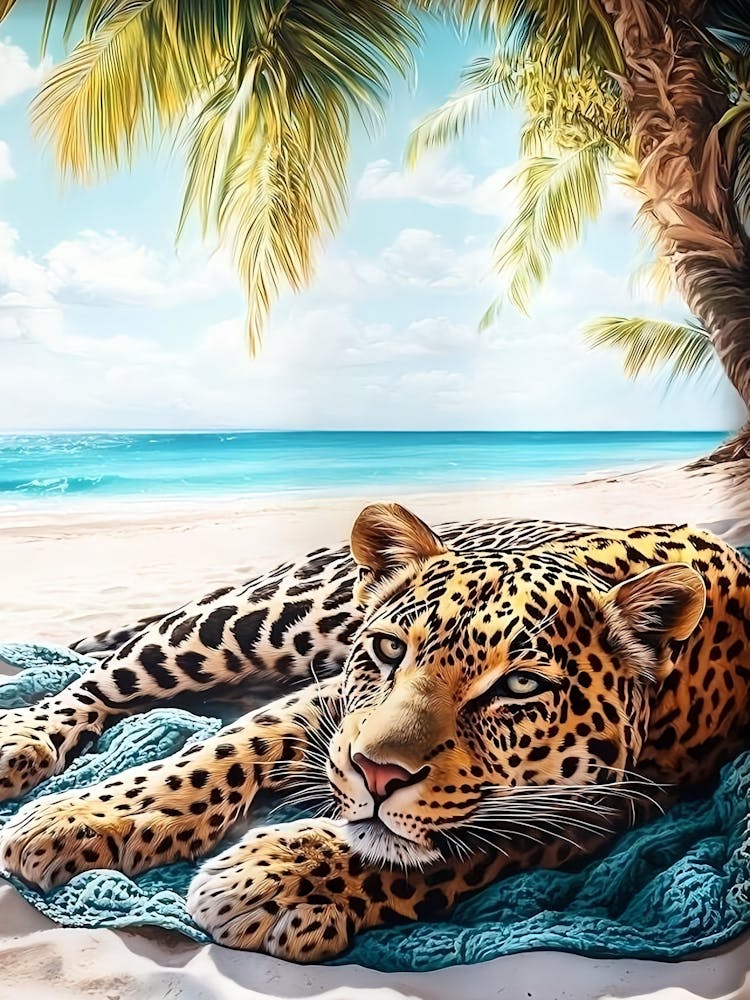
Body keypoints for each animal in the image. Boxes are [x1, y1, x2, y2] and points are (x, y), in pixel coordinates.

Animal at [0, 502, 749, 963]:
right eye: (390, 650)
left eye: (518, 688)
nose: (378, 772)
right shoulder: (332, 701)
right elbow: (226, 746)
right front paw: (89, 816)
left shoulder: (605, 806)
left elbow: (439, 851)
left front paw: (280, 881)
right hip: (253, 623)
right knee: (109, 678)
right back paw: (22, 742)